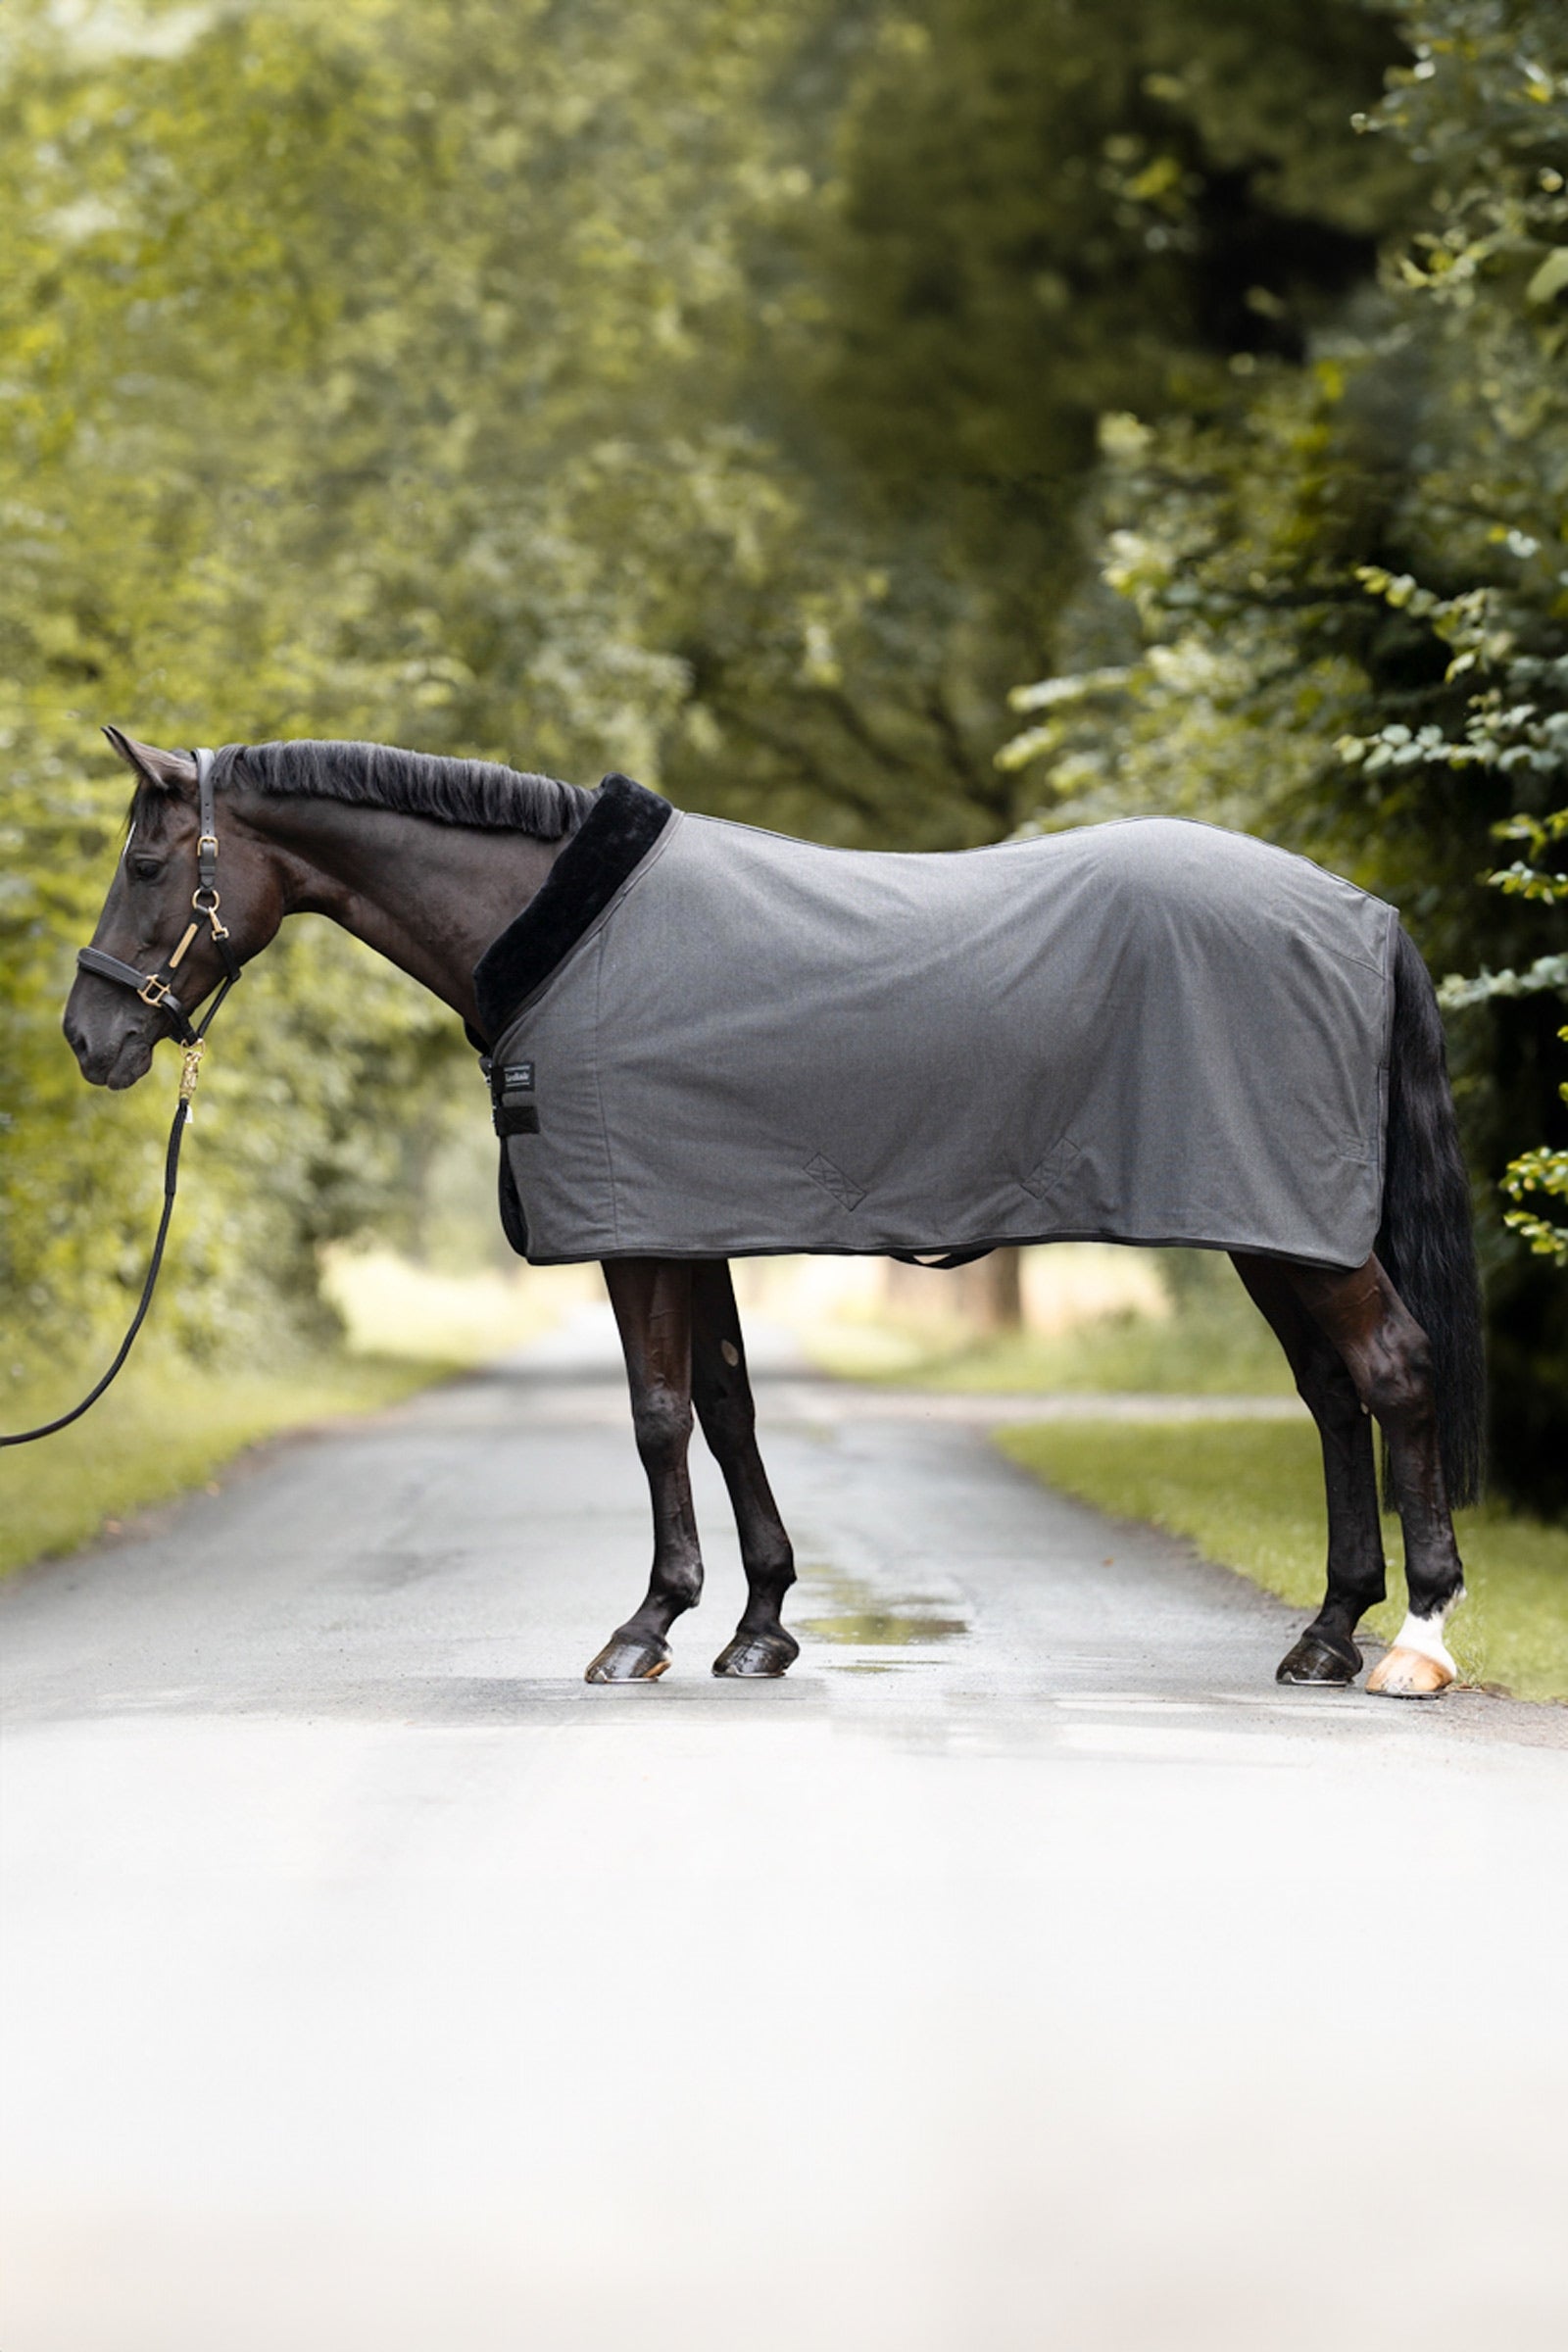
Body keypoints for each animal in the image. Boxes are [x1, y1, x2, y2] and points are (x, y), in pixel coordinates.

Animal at [63, 729, 1485, 1699]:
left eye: (146, 859)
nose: (89, 1037)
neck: (565, 934)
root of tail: (1364, 917)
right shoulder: (696, 1221)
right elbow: (731, 1405)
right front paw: (759, 1628)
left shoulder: (638, 1232)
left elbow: (657, 1415)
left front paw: (646, 1627)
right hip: (1274, 1229)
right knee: (1333, 1394)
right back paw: (1326, 1633)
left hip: (1296, 1226)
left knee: (1394, 1372)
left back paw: (1413, 1645)